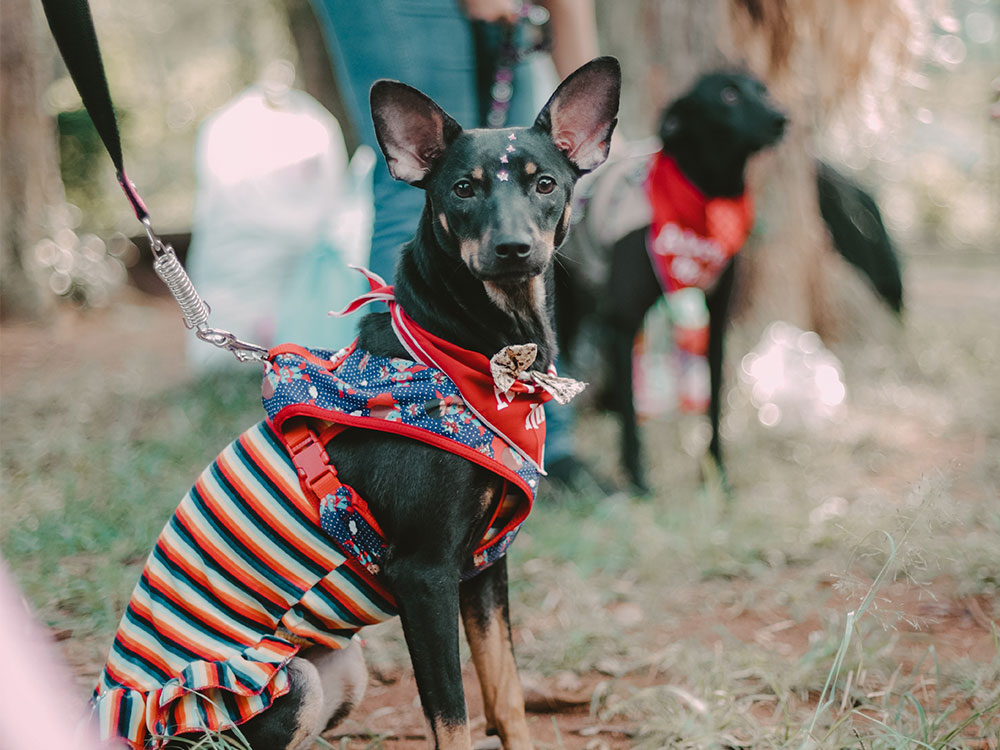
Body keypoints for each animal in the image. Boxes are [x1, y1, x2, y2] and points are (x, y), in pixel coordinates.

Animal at [95, 58, 624, 750]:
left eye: (544, 184)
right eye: (462, 189)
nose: (513, 247)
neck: (471, 356)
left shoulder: (483, 570)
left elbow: (505, 696)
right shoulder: (425, 577)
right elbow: (453, 718)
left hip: (342, 670)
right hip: (287, 688)